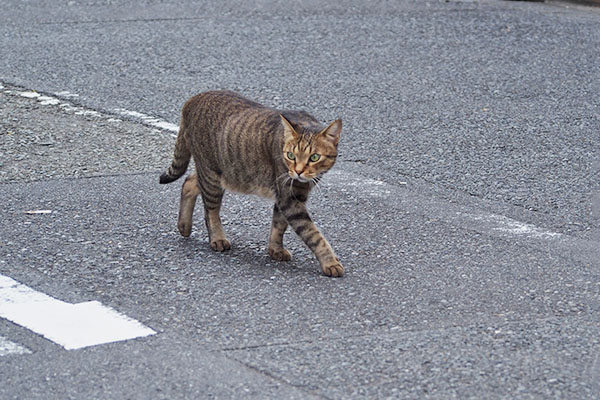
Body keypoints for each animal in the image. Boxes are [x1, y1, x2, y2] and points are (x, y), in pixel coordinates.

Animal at [159, 91, 344, 278]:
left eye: (314, 157)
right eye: (291, 155)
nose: (298, 171)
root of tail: (193, 99)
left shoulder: (289, 195)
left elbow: (279, 225)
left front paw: (275, 250)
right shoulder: (289, 198)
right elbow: (314, 235)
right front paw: (330, 262)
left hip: (220, 174)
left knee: (189, 181)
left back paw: (184, 226)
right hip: (212, 176)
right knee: (211, 212)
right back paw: (217, 238)